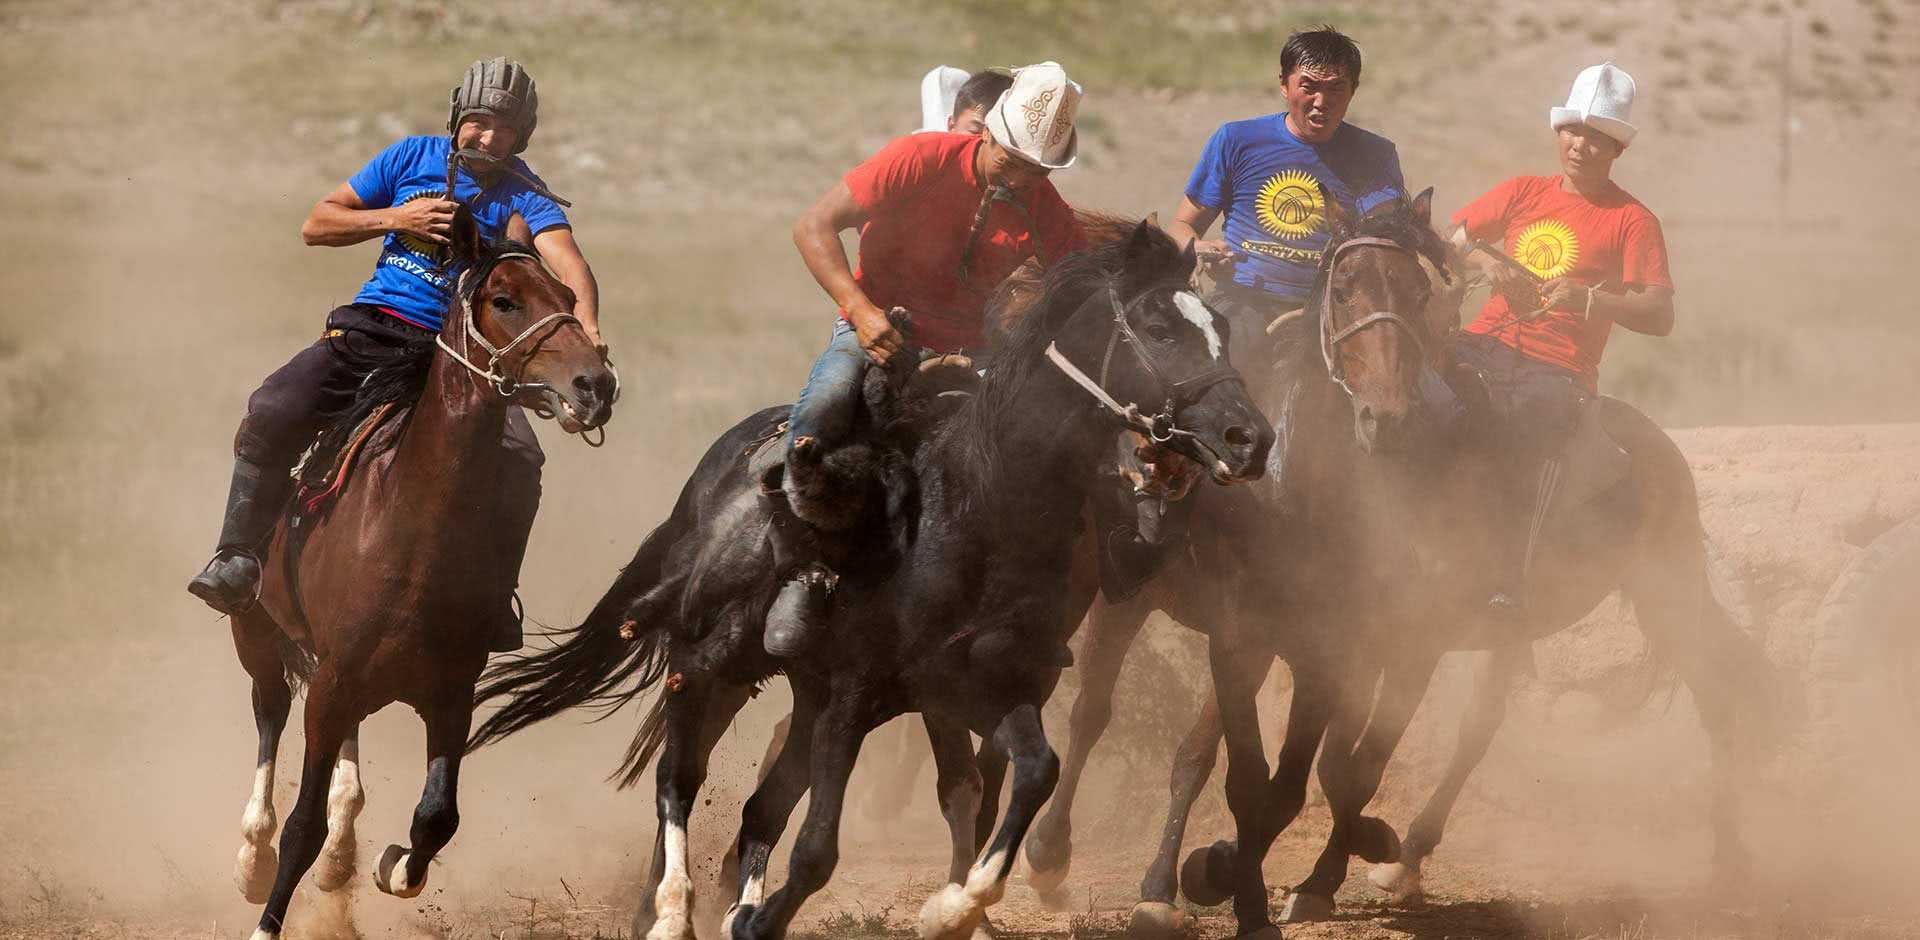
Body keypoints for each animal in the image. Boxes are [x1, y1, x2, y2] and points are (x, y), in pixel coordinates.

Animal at [223, 212, 614, 940]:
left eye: (571, 299)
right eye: (504, 300)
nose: (595, 386)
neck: (409, 533)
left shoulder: (449, 693)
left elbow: (436, 818)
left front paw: (389, 865)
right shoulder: (330, 687)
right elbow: (301, 826)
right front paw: (269, 915)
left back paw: (344, 853)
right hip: (256, 632)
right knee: (270, 712)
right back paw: (251, 853)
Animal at [470, 222, 1267, 940]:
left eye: (1223, 327)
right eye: (1160, 328)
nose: (1250, 438)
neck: (976, 508)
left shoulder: (977, 688)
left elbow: (1029, 773)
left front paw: (955, 908)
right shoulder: (853, 694)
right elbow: (818, 850)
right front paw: (760, 918)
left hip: (799, 691)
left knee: (759, 806)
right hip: (712, 663)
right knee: (678, 777)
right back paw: (668, 913)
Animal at [1013, 192, 1774, 940]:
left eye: (1418, 291)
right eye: (1345, 288)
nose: (1387, 417)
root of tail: (1652, 446)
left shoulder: (1376, 646)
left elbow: (1327, 771)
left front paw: (1274, 870)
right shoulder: (1252, 634)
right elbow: (1263, 764)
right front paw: (1216, 874)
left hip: (1660, 590)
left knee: (1714, 690)